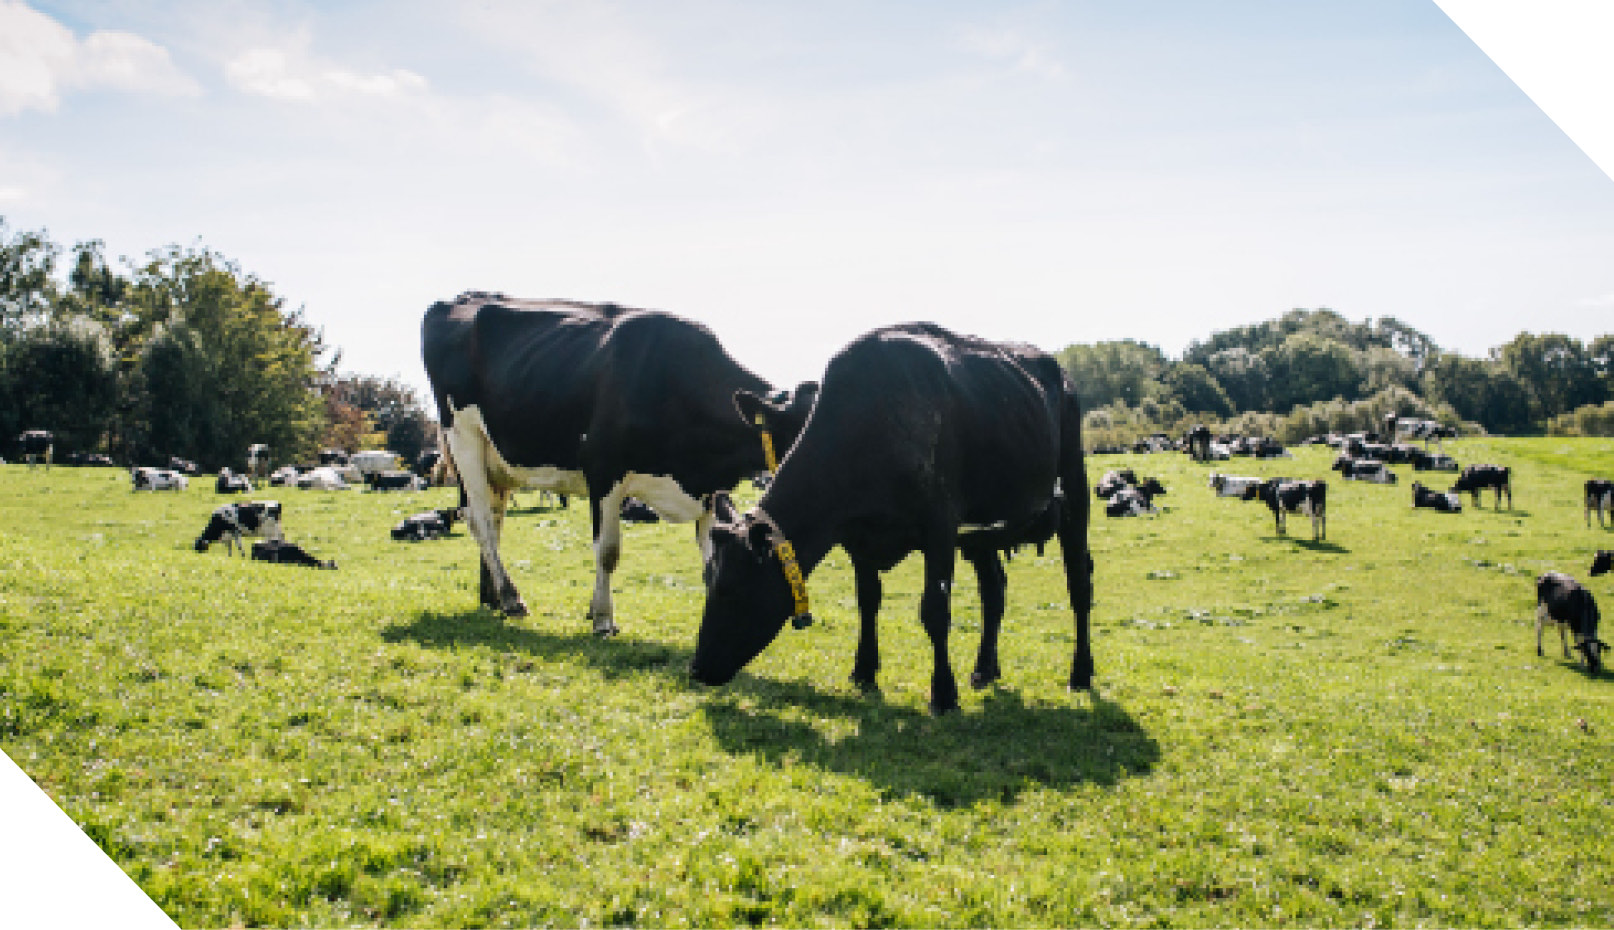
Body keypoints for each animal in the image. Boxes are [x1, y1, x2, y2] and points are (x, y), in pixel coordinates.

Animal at [423, 292, 818, 629]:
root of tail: (460, 298)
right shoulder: (602, 470)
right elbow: (607, 551)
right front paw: (602, 619)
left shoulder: (708, 489)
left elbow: (710, 559)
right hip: (464, 437)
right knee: (480, 520)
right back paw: (510, 598)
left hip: (498, 460)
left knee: (494, 514)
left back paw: (492, 597)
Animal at [688, 322, 1094, 714]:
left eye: (727, 589)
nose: (697, 667)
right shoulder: (856, 535)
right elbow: (868, 599)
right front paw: (864, 671)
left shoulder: (940, 525)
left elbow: (935, 610)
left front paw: (943, 695)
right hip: (983, 529)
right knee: (994, 588)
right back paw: (984, 670)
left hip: (1074, 489)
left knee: (1079, 583)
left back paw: (1081, 674)